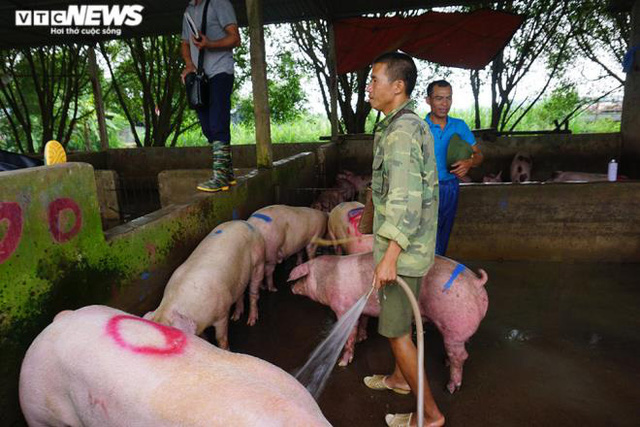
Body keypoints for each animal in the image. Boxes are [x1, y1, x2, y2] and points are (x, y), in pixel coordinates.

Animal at [146, 221, 264, 352]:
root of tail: (247, 223)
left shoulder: (222, 313)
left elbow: (220, 337)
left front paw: (225, 350)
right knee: (240, 292)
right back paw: (235, 317)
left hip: (259, 261)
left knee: (253, 292)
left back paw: (251, 322)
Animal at [288, 252, 488, 392]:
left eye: (302, 277)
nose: (291, 287)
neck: (327, 278)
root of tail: (477, 283)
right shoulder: (362, 309)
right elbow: (362, 321)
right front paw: (362, 338)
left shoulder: (344, 307)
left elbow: (349, 334)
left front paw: (343, 363)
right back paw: (445, 362)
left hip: (455, 325)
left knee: (461, 356)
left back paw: (451, 387)